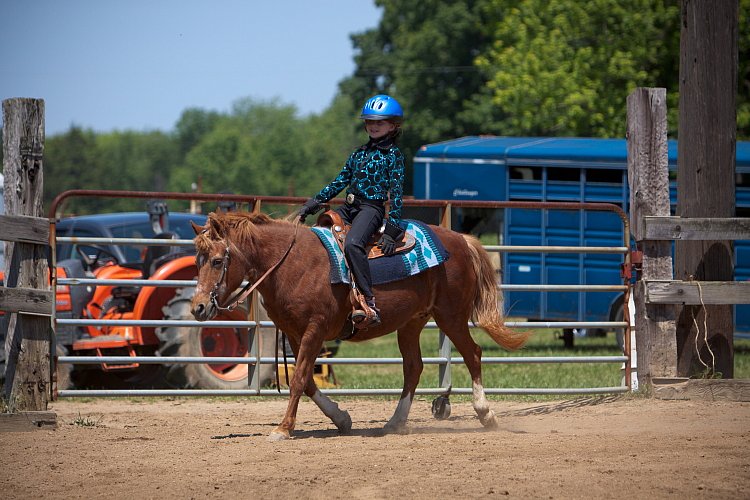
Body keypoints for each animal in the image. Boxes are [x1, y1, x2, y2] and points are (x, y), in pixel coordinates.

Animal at [191, 212, 532, 442]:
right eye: (198, 260)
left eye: (218, 261)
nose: (198, 307)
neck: (290, 263)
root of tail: (460, 239)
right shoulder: (294, 334)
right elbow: (308, 381)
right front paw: (341, 419)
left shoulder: (314, 330)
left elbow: (299, 379)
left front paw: (283, 428)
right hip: (412, 322)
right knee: (414, 367)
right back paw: (395, 422)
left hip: (451, 316)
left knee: (473, 353)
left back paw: (485, 413)